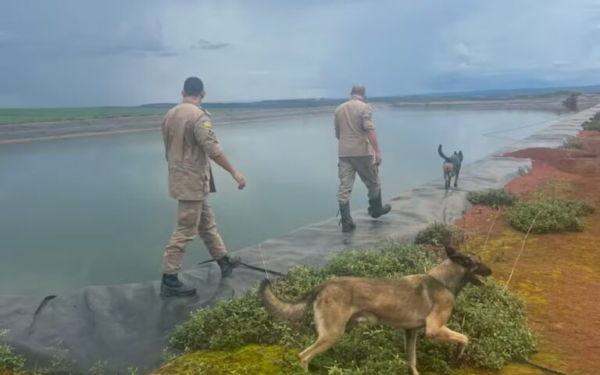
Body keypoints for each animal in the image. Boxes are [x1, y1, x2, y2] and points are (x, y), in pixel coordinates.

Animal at [258, 247, 492, 375]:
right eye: (479, 262)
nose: (491, 271)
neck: (442, 281)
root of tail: (325, 284)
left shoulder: (411, 332)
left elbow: (412, 360)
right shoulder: (434, 330)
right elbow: (464, 338)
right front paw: (458, 354)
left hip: (334, 333)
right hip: (332, 334)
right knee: (303, 356)